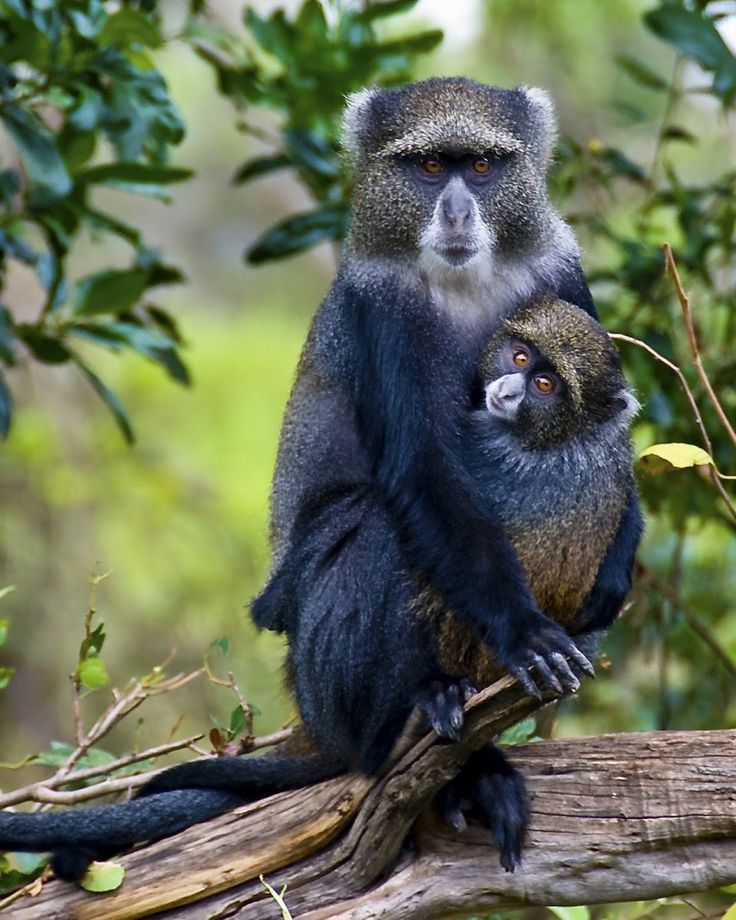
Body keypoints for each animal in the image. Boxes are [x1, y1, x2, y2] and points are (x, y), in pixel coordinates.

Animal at [0, 77, 640, 876]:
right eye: (430, 167)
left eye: (485, 166)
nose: (458, 210)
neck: (465, 282)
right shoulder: (381, 314)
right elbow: (420, 472)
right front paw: (524, 633)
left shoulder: (560, 279)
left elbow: (611, 432)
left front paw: (614, 576)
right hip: (313, 655)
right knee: (373, 522)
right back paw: (426, 717)